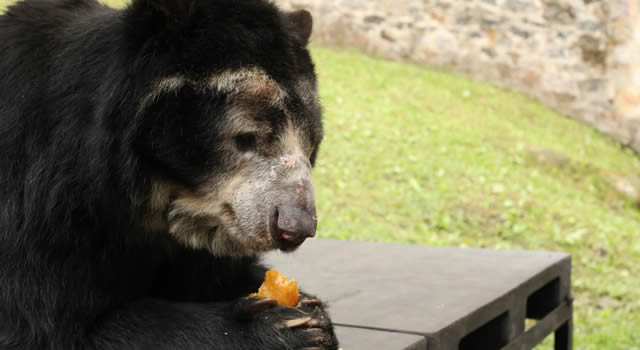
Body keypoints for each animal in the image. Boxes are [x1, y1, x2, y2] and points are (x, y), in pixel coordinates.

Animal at [0, 0, 340, 348]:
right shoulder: (43, 208)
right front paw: (280, 327)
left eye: (312, 145)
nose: (295, 227)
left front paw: (312, 310)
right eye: (246, 137)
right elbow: (50, 327)